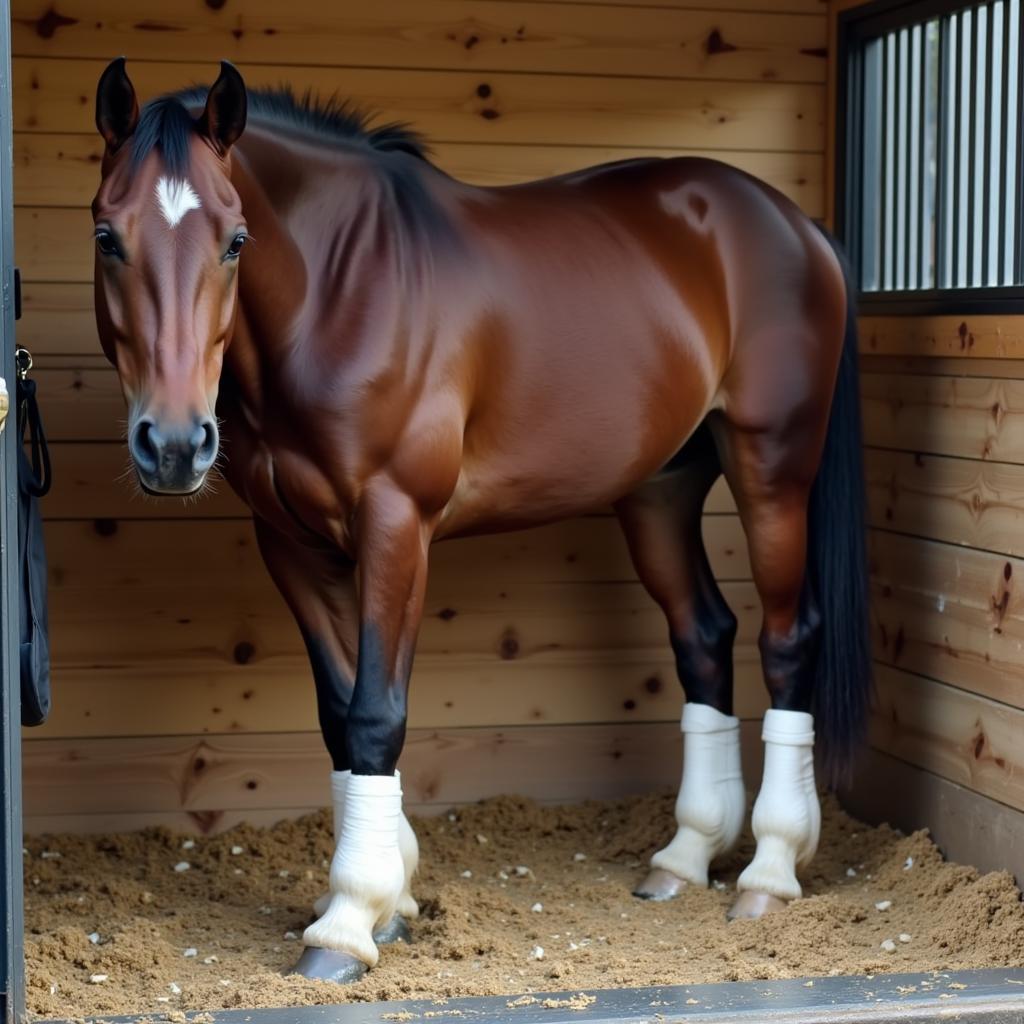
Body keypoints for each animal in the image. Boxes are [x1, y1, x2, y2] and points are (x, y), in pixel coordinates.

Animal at [92, 58, 868, 983]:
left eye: (235, 240)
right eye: (107, 236)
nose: (174, 444)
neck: (337, 294)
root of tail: (798, 225)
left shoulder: (396, 525)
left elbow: (376, 714)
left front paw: (347, 924)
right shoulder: (291, 542)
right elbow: (339, 711)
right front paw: (390, 900)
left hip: (772, 466)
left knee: (786, 639)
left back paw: (770, 872)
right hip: (662, 488)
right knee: (704, 636)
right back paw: (683, 857)